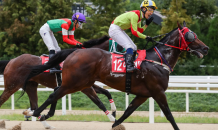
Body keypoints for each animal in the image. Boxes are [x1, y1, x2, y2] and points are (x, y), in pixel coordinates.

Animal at [22, 21, 209, 129]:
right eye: (191, 35)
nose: (206, 48)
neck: (158, 59)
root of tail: (74, 52)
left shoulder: (143, 95)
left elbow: (126, 114)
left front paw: (115, 122)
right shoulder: (158, 92)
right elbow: (170, 116)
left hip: (81, 84)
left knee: (55, 94)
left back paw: (40, 114)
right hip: (74, 83)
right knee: (53, 95)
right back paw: (34, 113)